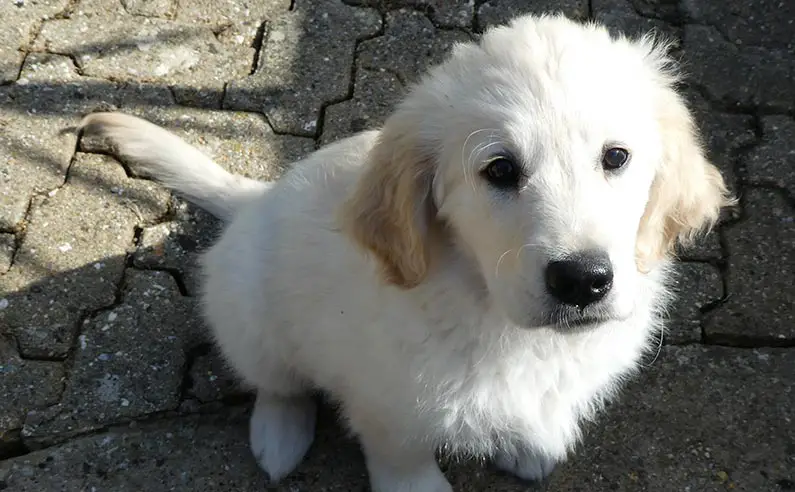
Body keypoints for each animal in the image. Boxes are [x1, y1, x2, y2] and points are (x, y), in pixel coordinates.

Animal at [79, 13, 732, 490]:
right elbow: (402, 459)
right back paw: (280, 434)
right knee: (277, 379)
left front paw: (528, 445)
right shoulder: (387, 400)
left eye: (616, 157)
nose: (582, 281)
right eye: (500, 170)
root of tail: (256, 197)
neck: (486, 307)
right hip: (248, 314)